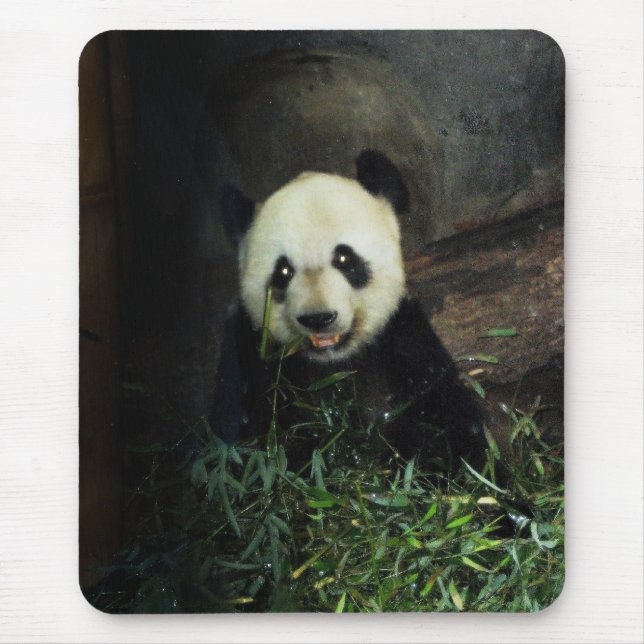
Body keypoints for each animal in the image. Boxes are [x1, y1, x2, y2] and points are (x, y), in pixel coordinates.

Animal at [209, 150, 491, 475]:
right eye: (284, 271)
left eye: (344, 258)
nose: (318, 319)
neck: (335, 363)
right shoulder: (255, 358)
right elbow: (263, 446)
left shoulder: (403, 340)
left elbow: (447, 424)